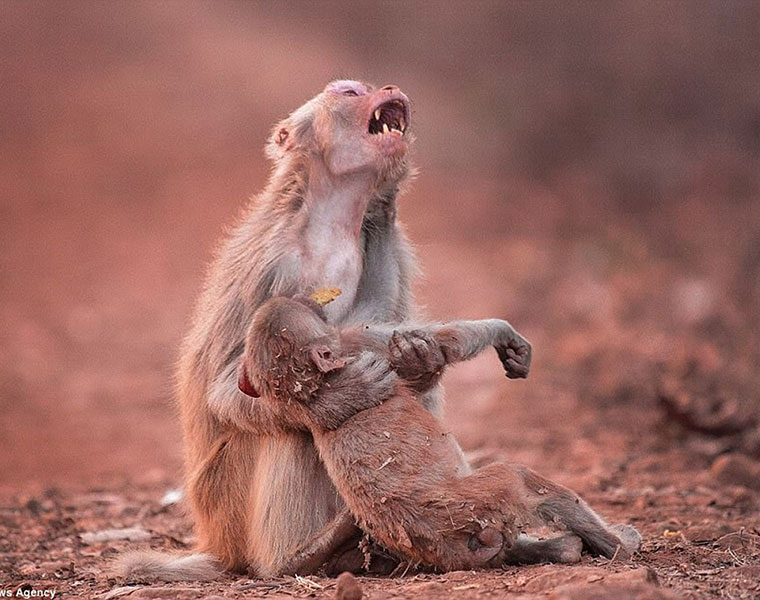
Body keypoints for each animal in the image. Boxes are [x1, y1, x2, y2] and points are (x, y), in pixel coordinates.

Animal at [239, 294, 640, 572]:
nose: (309, 298)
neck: (313, 388)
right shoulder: (355, 345)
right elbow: (449, 341)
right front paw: (502, 331)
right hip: (477, 502)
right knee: (518, 477)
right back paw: (618, 544)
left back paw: (565, 548)